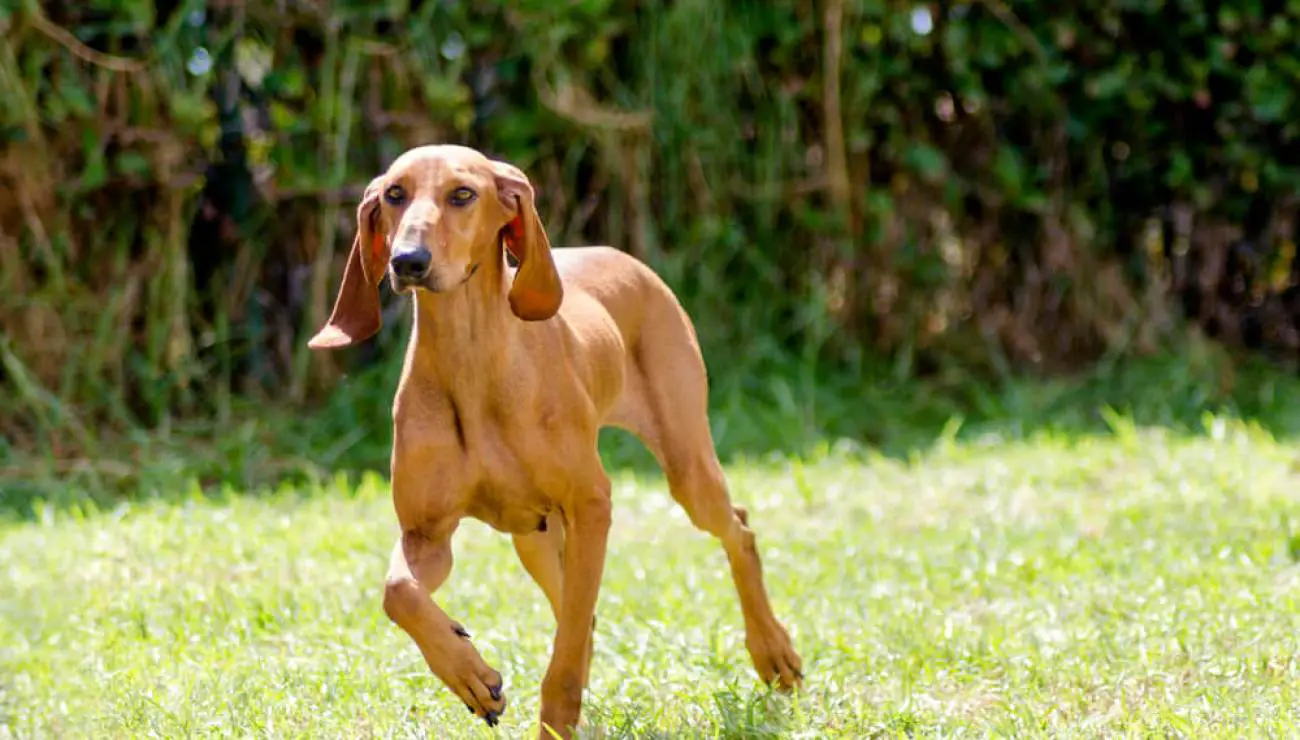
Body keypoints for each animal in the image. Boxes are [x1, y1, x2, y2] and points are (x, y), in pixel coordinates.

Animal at [309, 145, 800, 738]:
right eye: (393, 194)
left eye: (462, 194)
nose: (407, 261)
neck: (472, 363)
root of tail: (619, 255)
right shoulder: (427, 535)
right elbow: (398, 593)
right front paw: (469, 674)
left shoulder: (591, 507)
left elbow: (563, 660)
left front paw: (552, 717)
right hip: (536, 538)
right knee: (576, 609)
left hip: (686, 468)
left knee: (738, 530)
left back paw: (773, 651)